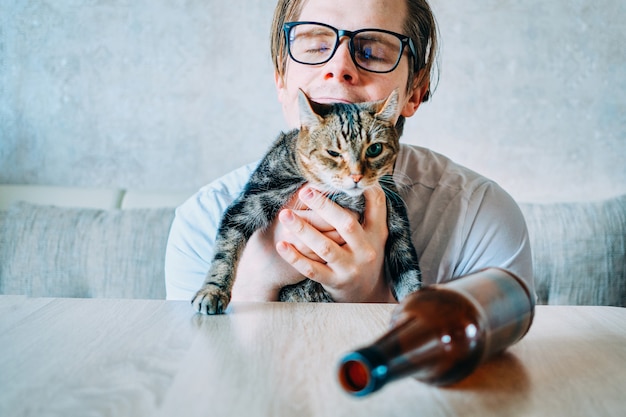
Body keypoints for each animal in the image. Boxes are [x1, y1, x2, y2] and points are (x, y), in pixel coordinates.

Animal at [193, 89, 422, 314]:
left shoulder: (396, 214)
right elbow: (224, 252)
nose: (356, 176)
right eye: (333, 153)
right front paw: (212, 291)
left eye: (374, 149)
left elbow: (408, 269)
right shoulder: (250, 201)